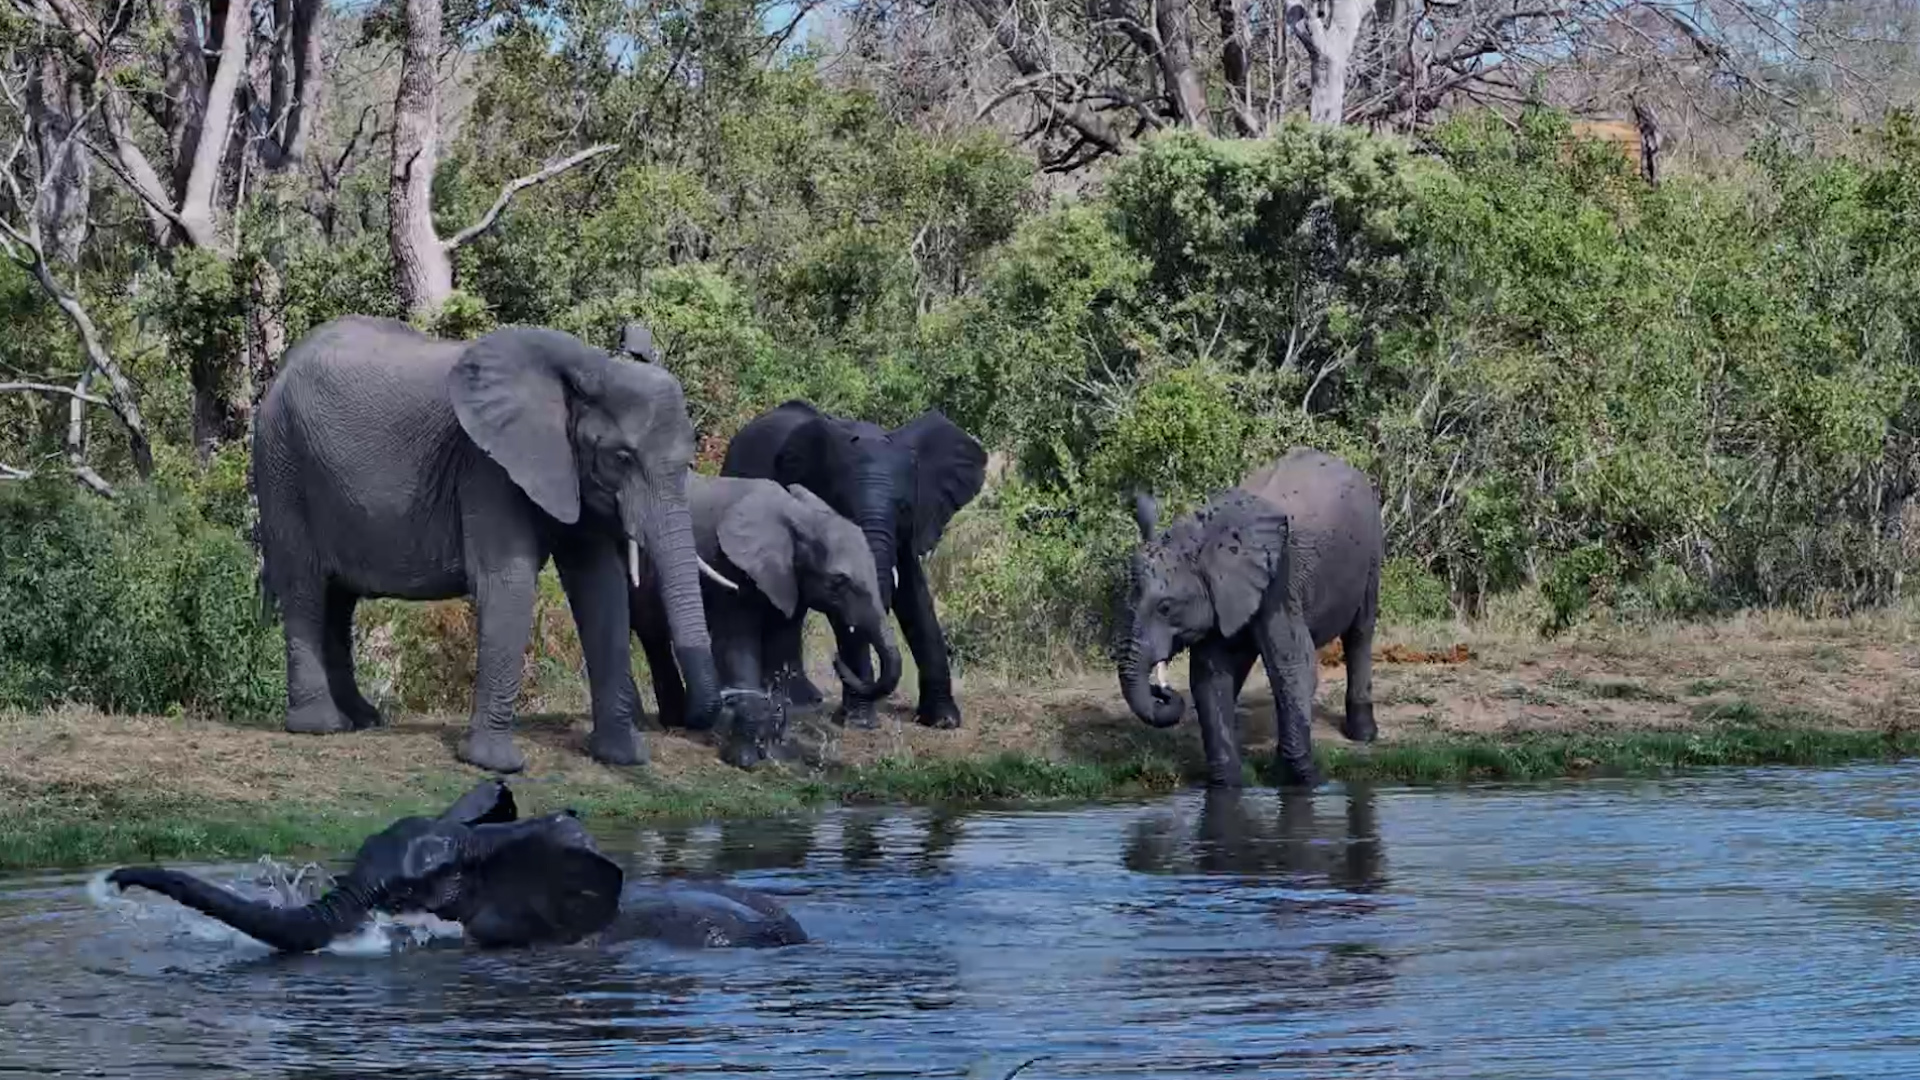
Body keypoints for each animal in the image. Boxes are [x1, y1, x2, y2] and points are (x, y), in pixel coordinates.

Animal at [251, 315, 742, 775]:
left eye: (690, 459)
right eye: (621, 457)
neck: (588, 369)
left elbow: (600, 586)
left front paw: (623, 758)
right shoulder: (486, 466)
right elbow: (508, 582)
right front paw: (496, 765)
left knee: (339, 599)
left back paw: (363, 721)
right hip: (282, 465)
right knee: (305, 589)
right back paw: (321, 727)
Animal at [630, 474, 902, 768]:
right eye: (838, 581)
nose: (835, 659)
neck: (798, 517)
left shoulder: (789, 580)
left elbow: (779, 649)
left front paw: (776, 756)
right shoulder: (729, 568)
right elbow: (737, 645)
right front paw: (744, 760)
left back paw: (675, 721)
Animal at [720, 400, 987, 729]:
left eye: (904, 508)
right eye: (841, 505)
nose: (835, 663)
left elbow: (917, 600)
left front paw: (943, 721)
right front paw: (859, 722)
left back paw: (801, 698)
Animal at [1119, 447, 1384, 789]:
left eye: (1165, 607)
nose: (1161, 690)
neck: (1202, 542)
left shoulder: (1280, 584)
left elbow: (1293, 666)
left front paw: (1305, 781)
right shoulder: (1220, 595)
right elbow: (1210, 675)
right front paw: (1228, 786)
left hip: (1372, 549)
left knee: (1360, 633)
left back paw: (1363, 736)